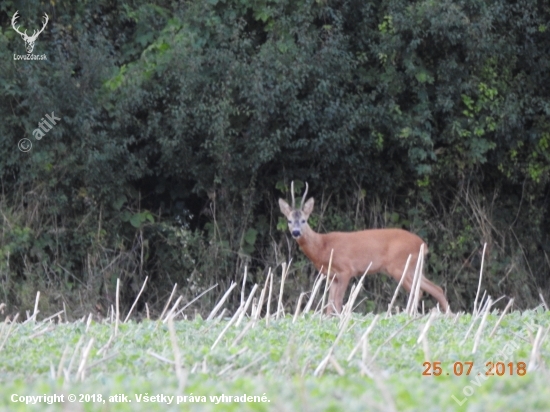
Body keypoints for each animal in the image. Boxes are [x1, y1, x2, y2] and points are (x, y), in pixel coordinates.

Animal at [278, 182, 450, 314]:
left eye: (304, 220)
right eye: (289, 220)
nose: (296, 232)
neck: (323, 247)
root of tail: (423, 244)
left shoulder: (346, 270)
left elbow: (338, 301)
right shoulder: (332, 276)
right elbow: (330, 304)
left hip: (400, 266)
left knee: (418, 291)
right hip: (413, 267)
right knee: (436, 289)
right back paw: (449, 316)